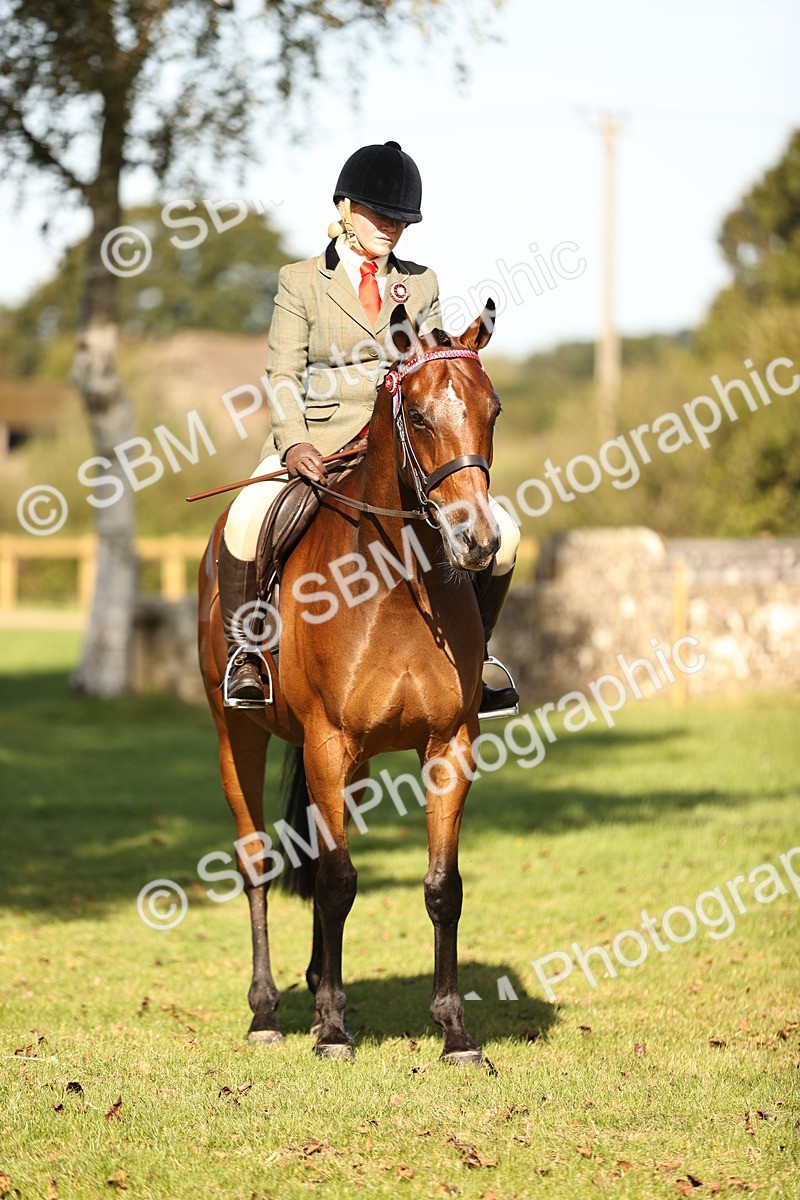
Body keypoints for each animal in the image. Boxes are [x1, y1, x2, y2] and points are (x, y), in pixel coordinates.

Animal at [198, 301, 502, 1063]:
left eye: (494, 411)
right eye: (417, 417)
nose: (478, 542)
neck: (396, 583)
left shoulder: (448, 746)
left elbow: (442, 887)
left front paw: (455, 1032)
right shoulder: (326, 742)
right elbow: (336, 881)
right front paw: (333, 1029)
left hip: (355, 765)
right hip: (237, 734)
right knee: (258, 861)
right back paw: (268, 1012)